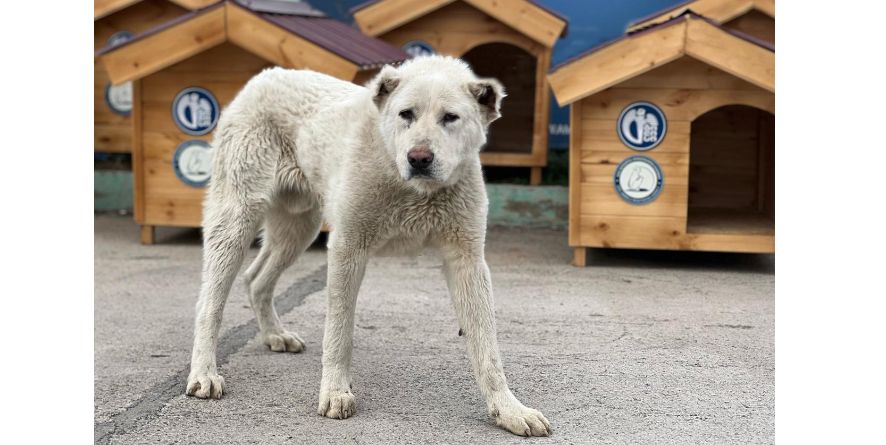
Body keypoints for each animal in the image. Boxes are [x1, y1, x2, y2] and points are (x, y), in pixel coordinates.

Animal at [185, 53, 552, 436]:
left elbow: (487, 347)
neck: (409, 187)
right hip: (236, 220)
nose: (418, 157)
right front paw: (335, 391)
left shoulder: (467, 260)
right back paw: (204, 373)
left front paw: (508, 409)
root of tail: (265, 77)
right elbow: (339, 332)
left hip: (298, 229)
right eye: (406, 114)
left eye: (450, 117)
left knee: (256, 279)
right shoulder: (348, 248)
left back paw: (275, 334)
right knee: (209, 303)